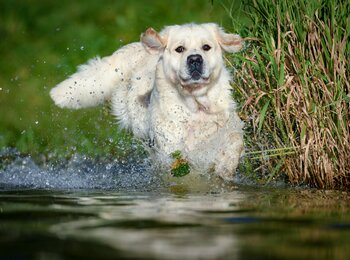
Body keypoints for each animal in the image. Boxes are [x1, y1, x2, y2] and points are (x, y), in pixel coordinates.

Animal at [50, 22, 243, 181]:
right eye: (180, 49)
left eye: (206, 47)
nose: (195, 59)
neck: (196, 104)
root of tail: (131, 48)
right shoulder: (171, 144)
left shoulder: (229, 125)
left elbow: (234, 140)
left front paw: (225, 167)